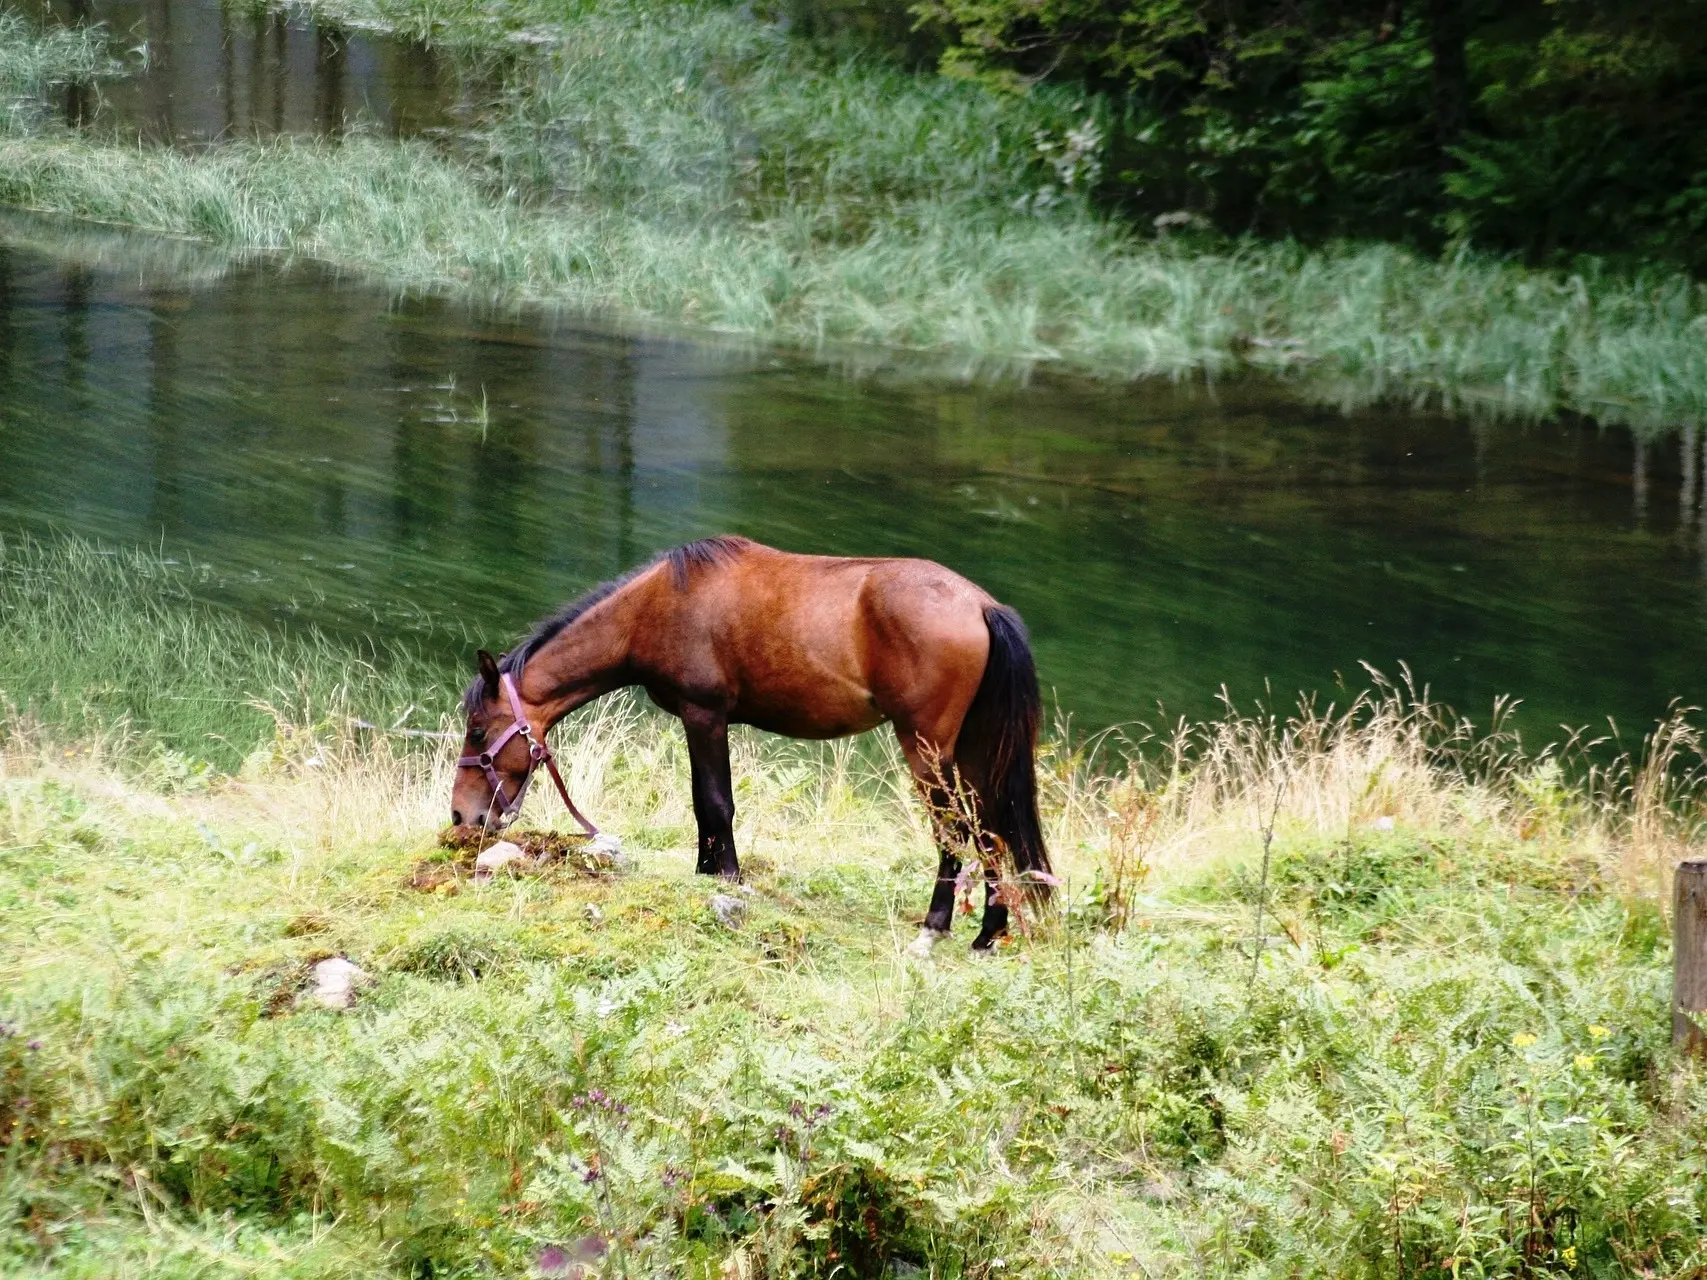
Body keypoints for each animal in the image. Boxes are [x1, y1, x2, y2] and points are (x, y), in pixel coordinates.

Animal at [447, 532, 1044, 955]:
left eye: (478, 730)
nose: (462, 816)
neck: (654, 607)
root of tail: (980, 605)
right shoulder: (701, 722)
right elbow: (704, 804)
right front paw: (706, 871)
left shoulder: (704, 716)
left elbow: (715, 802)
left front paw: (727, 877)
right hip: (968, 752)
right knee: (990, 828)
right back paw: (988, 933)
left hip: (926, 750)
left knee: (956, 828)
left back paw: (935, 928)